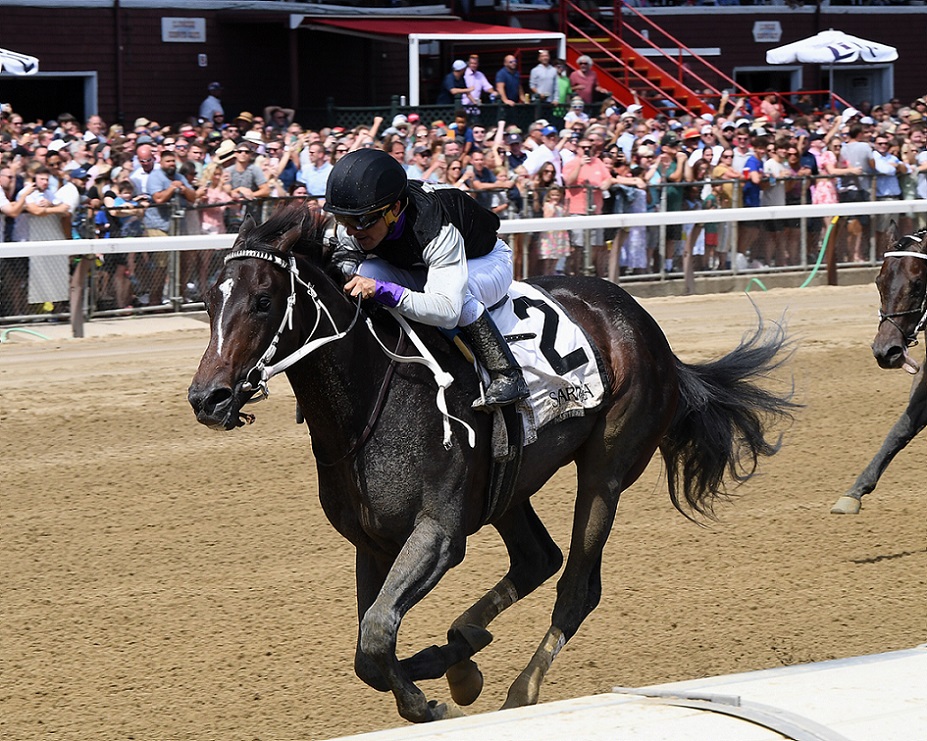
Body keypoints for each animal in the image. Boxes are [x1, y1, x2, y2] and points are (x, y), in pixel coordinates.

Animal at [188, 205, 796, 723]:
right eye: (209, 303)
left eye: (263, 300)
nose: (207, 399)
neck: (370, 398)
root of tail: (646, 327)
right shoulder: (373, 540)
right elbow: (369, 649)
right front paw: (446, 672)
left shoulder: (438, 532)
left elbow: (379, 632)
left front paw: (430, 703)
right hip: (509, 484)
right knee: (537, 558)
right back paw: (463, 647)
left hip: (606, 471)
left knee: (577, 587)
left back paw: (518, 689)